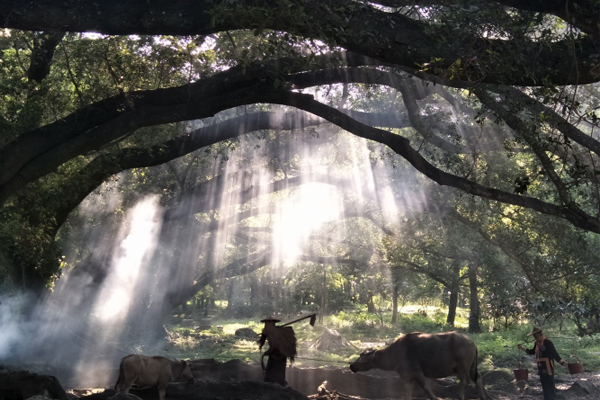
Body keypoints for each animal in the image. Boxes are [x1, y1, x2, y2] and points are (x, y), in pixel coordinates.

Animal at [350, 332, 486, 400]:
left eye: (362, 358)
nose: (352, 365)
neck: (396, 352)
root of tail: (472, 342)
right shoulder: (407, 377)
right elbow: (407, 393)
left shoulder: (417, 372)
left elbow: (426, 387)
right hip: (472, 367)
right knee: (478, 379)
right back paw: (482, 397)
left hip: (463, 367)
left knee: (465, 381)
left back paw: (460, 396)